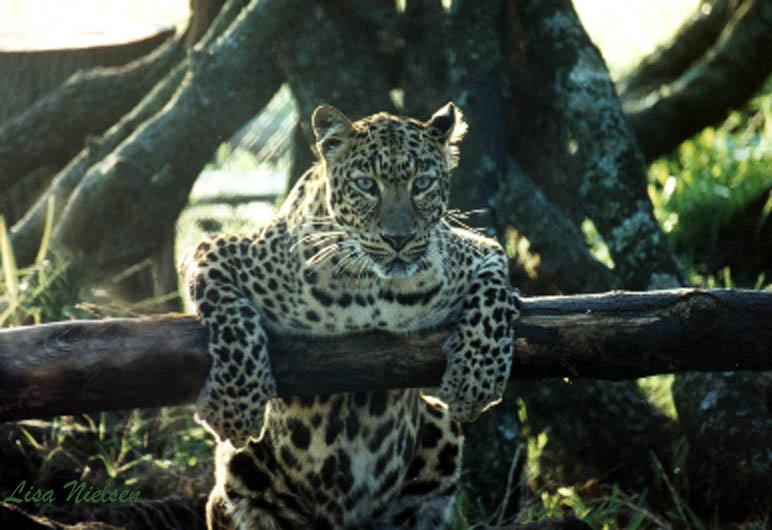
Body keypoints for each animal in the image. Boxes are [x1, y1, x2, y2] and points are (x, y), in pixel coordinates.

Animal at [182, 101, 520, 524]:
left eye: (422, 184)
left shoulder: (476, 249)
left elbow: (496, 297)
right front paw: (233, 407)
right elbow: (233, 322)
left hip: (439, 425)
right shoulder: (214, 251)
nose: (398, 239)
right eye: (366, 185)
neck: (372, 289)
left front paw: (475, 380)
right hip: (234, 479)